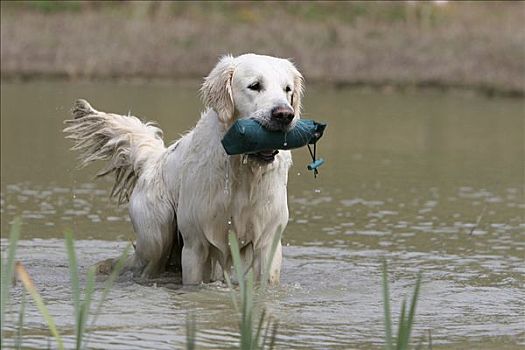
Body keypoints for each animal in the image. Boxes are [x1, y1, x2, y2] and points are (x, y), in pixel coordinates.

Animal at [64, 54, 302, 284]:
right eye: (255, 85)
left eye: (287, 89)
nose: (284, 114)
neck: (242, 170)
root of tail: (155, 159)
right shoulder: (196, 244)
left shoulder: (268, 240)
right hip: (156, 235)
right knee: (139, 262)